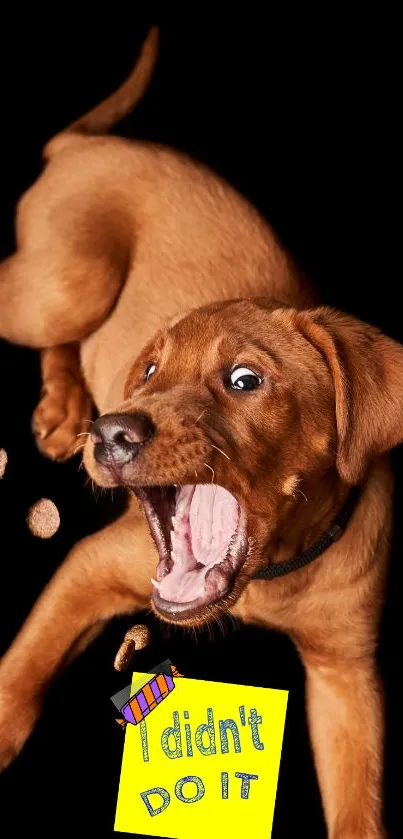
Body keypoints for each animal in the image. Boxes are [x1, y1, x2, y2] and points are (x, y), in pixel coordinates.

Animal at [0, 24, 400, 832]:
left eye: (245, 380)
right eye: (149, 371)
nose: (110, 433)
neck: (272, 574)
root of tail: (87, 145)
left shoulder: (346, 676)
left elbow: (358, 808)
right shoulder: (89, 564)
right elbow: (16, 680)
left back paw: (64, 409)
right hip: (66, 282)